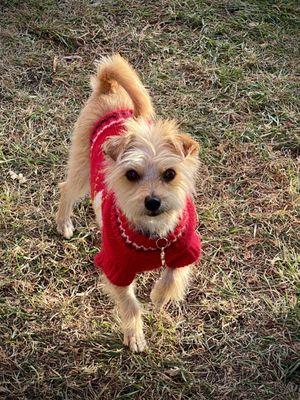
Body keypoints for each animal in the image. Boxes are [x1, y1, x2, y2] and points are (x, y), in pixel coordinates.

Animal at [56, 54, 202, 352]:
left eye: (170, 174)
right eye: (131, 175)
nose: (153, 201)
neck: (155, 237)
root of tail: (108, 88)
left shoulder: (186, 249)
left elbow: (173, 276)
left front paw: (160, 296)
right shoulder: (116, 268)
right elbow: (131, 304)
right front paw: (135, 334)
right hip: (82, 170)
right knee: (66, 189)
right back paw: (64, 223)